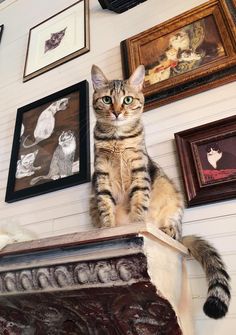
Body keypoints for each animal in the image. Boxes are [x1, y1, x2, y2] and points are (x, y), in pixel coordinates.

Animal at [90, 65, 230, 320]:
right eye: (106, 100)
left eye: (127, 99)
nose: (117, 112)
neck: (117, 137)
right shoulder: (101, 174)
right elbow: (105, 205)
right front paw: (108, 228)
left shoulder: (139, 170)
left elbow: (139, 201)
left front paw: (136, 222)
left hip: (173, 200)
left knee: (174, 231)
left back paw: (165, 229)